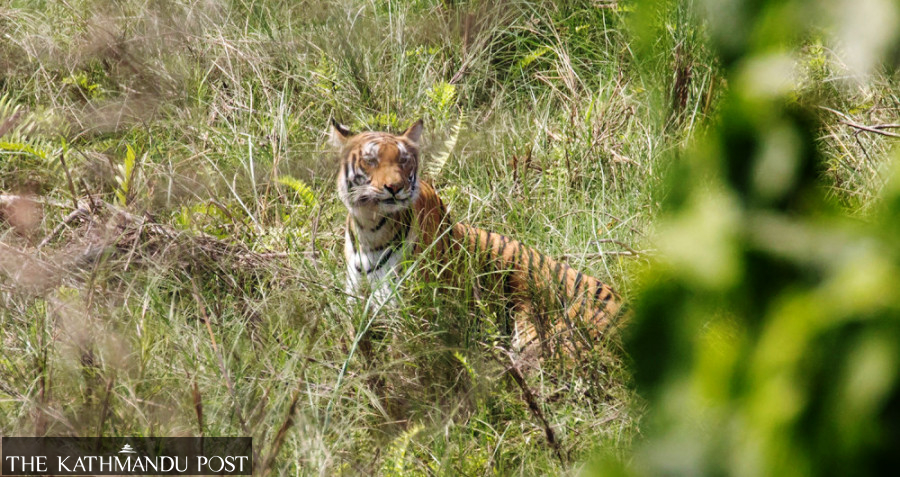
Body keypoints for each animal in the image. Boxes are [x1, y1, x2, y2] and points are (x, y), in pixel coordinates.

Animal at [332, 118, 623, 361]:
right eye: (371, 160)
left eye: (403, 161)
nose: (395, 187)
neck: (370, 229)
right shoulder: (355, 306)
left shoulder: (408, 313)